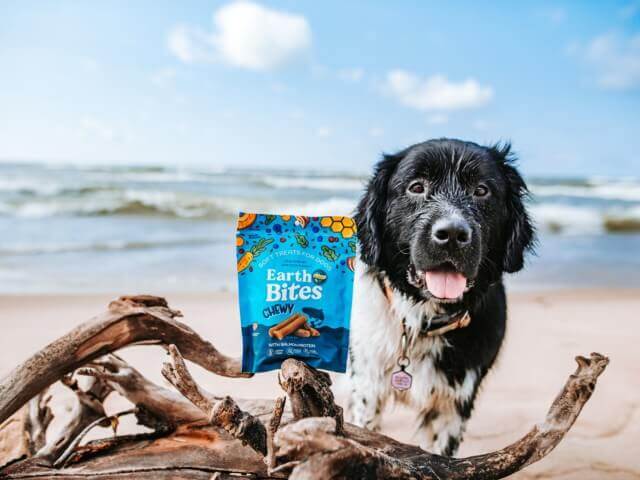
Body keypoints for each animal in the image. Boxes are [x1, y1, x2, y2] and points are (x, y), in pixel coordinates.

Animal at [344, 137, 536, 456]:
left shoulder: (453, 405)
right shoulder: (368, 385)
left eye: (481, 190)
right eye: (416, 187)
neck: (421, 318)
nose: (453, 234)